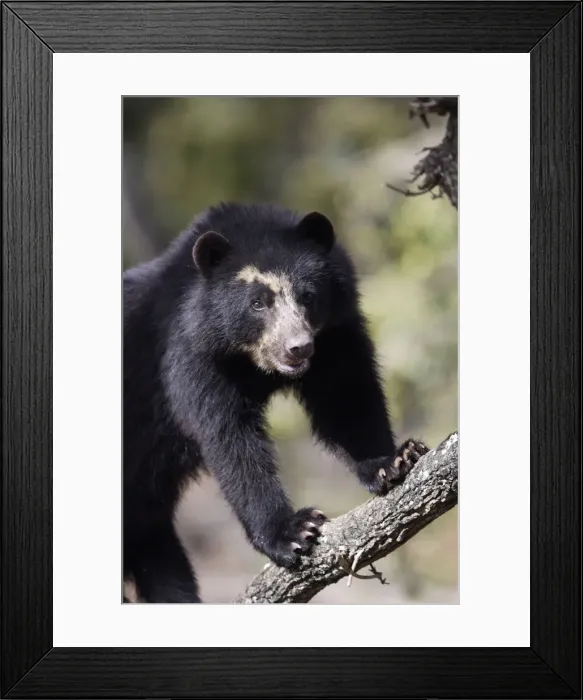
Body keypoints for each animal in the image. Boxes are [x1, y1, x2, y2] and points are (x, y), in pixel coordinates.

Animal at [123, 202, 429, 603]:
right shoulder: (191, 356)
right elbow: (231, 439)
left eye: (308, 296)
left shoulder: (334, 336)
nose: (298, 347)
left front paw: (392, 462)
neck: (251, 361)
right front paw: (293, 532)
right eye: (257, 303)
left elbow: (346, 397)